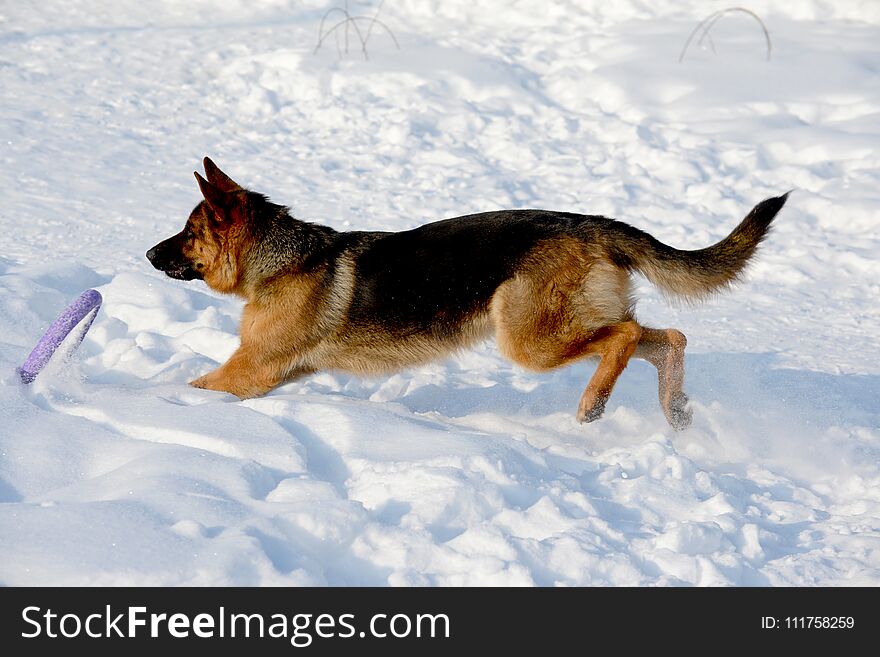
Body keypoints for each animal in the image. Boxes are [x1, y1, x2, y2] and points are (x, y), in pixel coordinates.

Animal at [148, 156, 788, 428]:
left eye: (189, 233)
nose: (149, 255)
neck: (280, 258)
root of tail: (590, 223)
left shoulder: (250, 370)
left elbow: (195, 385)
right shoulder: (277, 373)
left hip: (529, 340)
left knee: (627, 336)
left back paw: (593, 404)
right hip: (567, 326)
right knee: (669, 337)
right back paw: (674, 412)